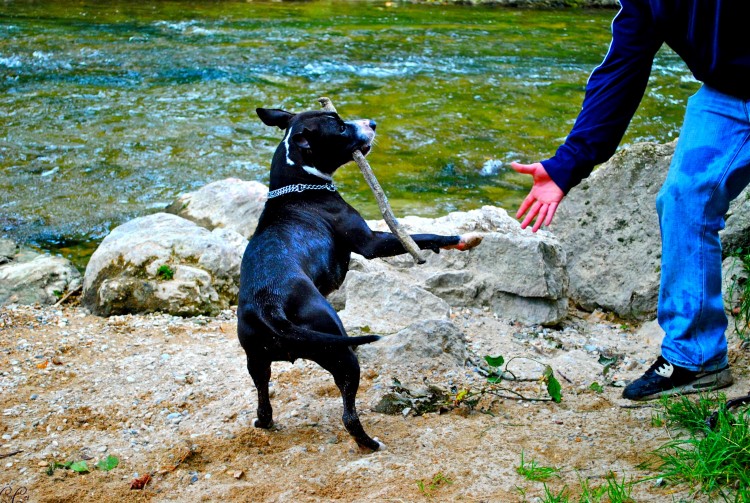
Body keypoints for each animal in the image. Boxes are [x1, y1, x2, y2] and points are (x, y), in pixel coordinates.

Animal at [238, 107, 478, 452]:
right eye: (339, 127)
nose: (373, 123)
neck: (299, 185)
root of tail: (270, 305)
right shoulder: (372, 243)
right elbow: (421, 236)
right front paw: (460, 239)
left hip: (257, 362)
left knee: (263, 401)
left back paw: (265, 423)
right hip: (342, 355)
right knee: (348, 416)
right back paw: (370, 443)